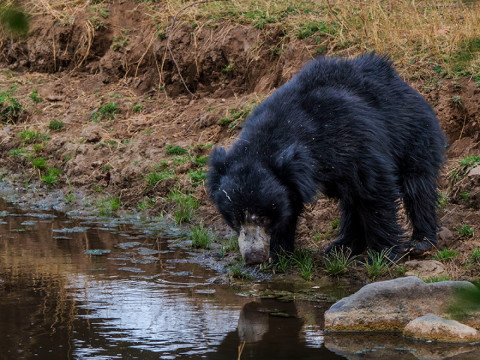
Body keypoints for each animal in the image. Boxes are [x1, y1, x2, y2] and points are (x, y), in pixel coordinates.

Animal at [207, 55, 446, 264]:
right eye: (235, 220)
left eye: (265, 218)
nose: (253, 258)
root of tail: (402, 82)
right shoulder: (292, 181)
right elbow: (289, 206)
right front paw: (278, 255)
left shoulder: (352, 143)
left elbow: (376, 191)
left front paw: (382, 255)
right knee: (352, 202)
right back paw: (343, 246)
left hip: (412, 135)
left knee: (417, 186)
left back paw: (420, 242)